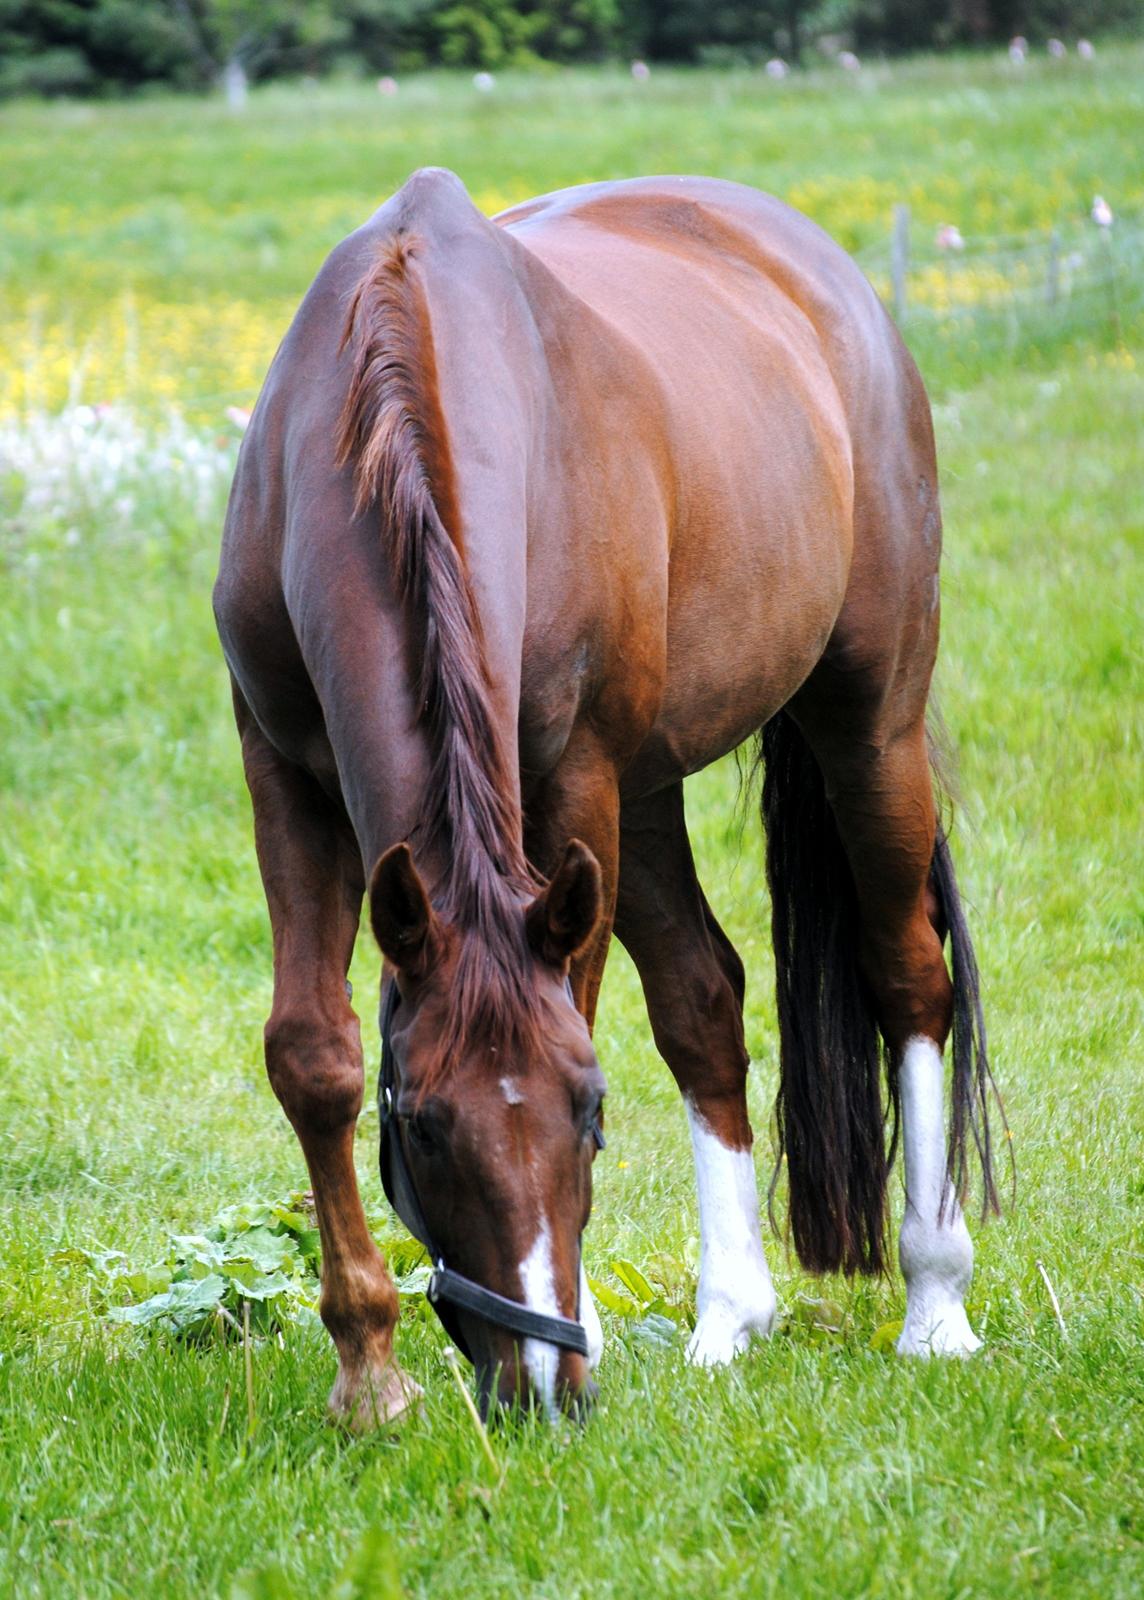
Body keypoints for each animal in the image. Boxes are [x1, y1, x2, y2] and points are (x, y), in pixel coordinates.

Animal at [214, 168, 1004, 1433]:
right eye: (420, 1123)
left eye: (588, 1110)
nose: (543, 1386)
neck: (396, 389)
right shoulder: (281, 773)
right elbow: (313, 1055)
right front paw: (369, 1369)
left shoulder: (572, 777)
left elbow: (583, 1004)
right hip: (651, 790)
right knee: (703, 1000)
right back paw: (730, 1316)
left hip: (866, 724)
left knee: (907, 978)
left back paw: (935, 1304)